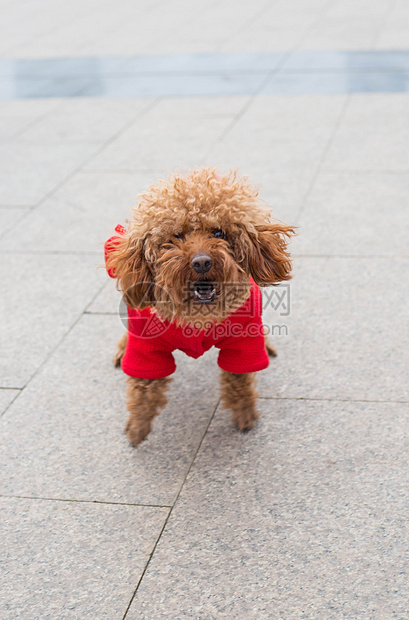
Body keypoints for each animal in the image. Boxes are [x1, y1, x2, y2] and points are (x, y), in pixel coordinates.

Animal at [103, 168, 292, 446]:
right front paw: (137, 427)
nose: (202, 262)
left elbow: (240, 380)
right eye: (176, 236)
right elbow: (144, 387)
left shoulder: (243, 338)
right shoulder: (146, 345)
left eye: (218, 232)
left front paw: (245, 414)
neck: (197, 314)